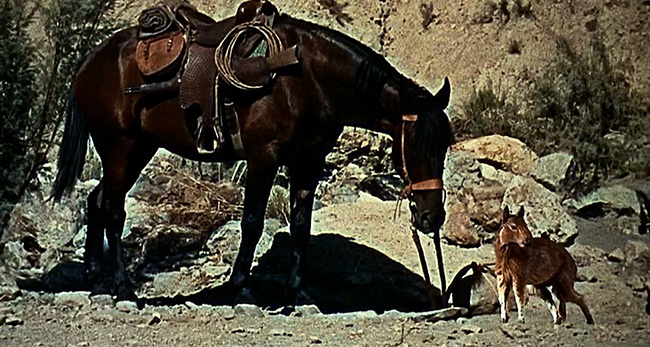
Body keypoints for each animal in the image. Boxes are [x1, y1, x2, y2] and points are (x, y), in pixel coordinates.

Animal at [50, 12, 450, 304]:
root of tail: (89, 61)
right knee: (113, 211)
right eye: (414, 145)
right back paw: (122, 288)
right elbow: (253, 222)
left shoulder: (308, 161)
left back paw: (95, 280)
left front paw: (299, 293)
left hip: (137, 150)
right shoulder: (264, 156)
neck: (306, 79)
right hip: (120, 146)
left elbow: (301, 226)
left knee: (96, 200)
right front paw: (242, 287)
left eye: (445, 145)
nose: (431, 217)